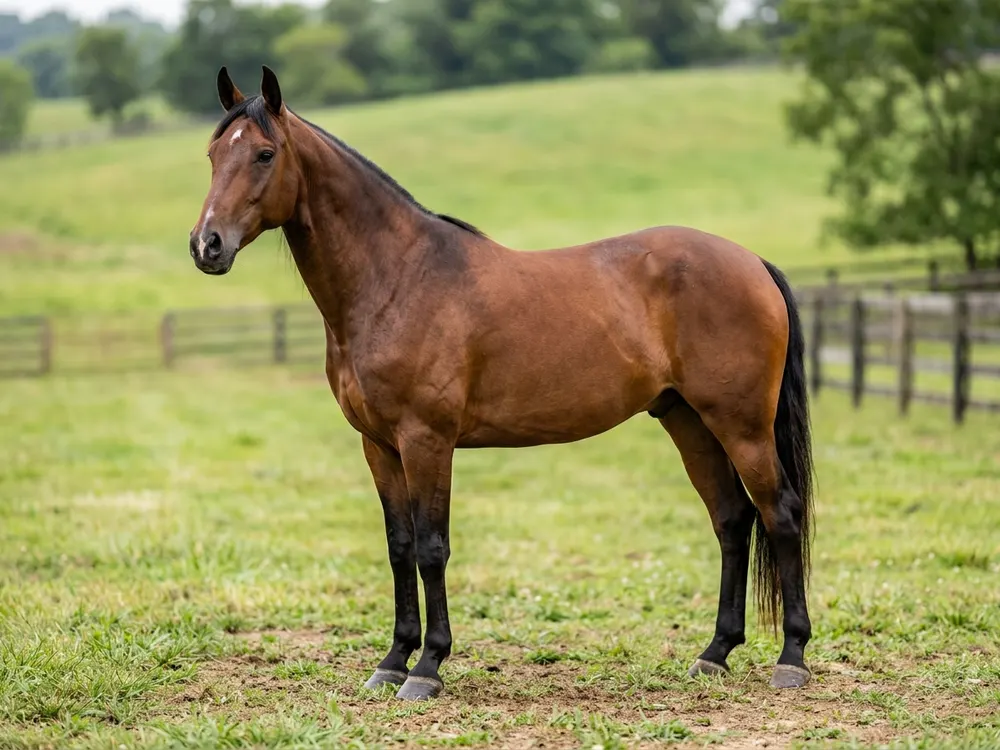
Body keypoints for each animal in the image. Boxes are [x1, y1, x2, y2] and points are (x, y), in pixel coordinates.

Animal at [189, 66, 816, 701]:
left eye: (265, 153)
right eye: (213, 155)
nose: (206, 245)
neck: (397, 279)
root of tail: (753, 263)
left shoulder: (427, 440)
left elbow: (431, 547)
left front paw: (427, 667)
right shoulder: (379, 445)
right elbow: (399, 548)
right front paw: (392, 661)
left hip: (741, 425)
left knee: (780, 513)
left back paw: (791, 658)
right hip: (688, 421)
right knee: (732, 520)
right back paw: (715, 653)